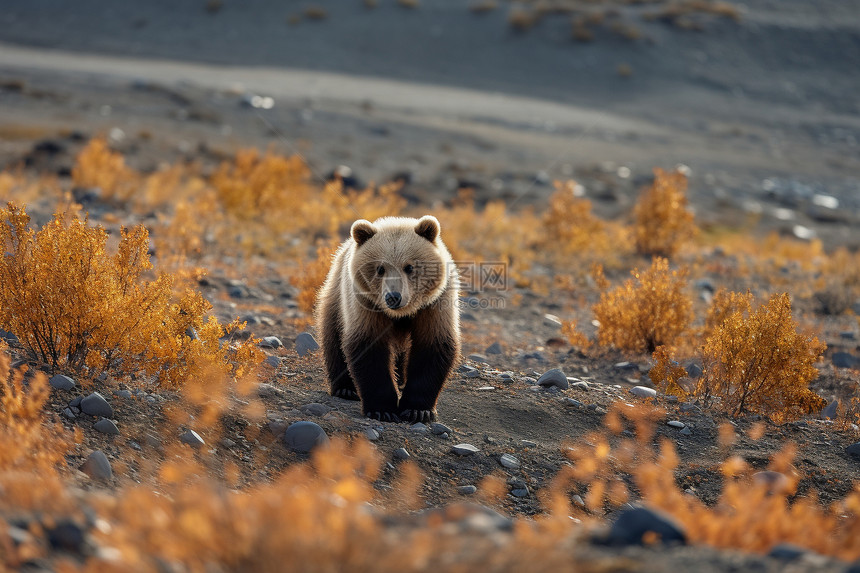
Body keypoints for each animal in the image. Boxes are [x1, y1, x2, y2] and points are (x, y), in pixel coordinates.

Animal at [316, 214, 460, 420]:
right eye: (380, 268)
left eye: (409, 267)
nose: (393, 297)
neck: (401, 314)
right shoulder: (366, 305)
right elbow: (369, 350)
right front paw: (383, 409)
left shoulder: (435, 305)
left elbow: (433, 347)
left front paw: (418, 410)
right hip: (337, 296)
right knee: (333, 336)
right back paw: (345, 389)